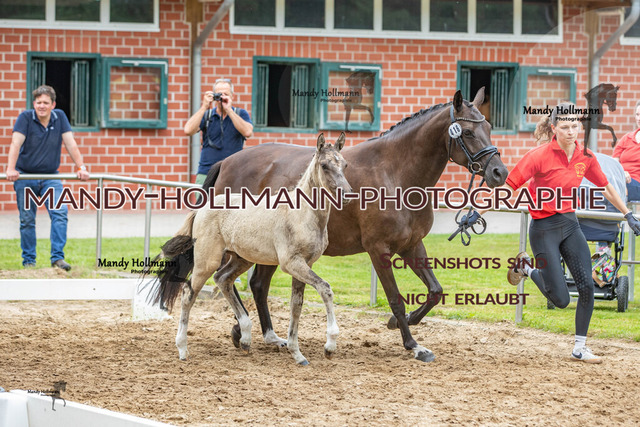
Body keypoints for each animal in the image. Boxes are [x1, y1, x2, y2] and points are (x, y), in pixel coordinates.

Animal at [152, 133, 351, 365]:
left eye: (345, 165)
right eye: (324, 165)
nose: (347, 194)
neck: (300, 213)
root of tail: (202, 208)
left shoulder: (304, 264)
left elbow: (296, 305)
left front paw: (297, 353)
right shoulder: (291, 263)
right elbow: (325, 289)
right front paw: (330, 345)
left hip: (241, 258)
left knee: (222, 279)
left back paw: (246, 337)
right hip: (206, 260)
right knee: (188, 293)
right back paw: (183, 349)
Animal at [203, 88, 509, 362]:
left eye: (489, 127)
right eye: (467, 132)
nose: (499, 172)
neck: (395, 175)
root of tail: (227, 162)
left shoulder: (411, 245)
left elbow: (435, 292)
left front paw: (401, 323)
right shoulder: (378, 249)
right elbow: (395, 298)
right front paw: (413, 345)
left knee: (256, 284)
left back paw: (265, 335)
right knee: (229, 279)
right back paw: (244, 330)